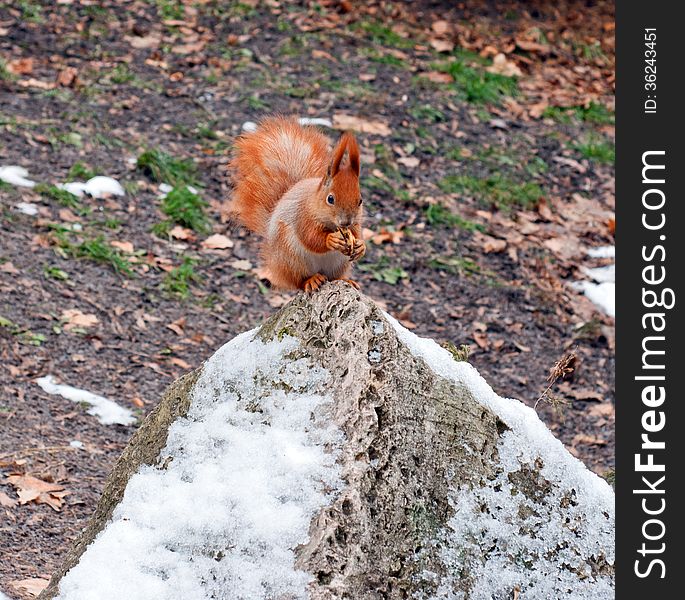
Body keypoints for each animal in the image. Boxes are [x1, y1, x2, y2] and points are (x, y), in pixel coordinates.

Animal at [230, 115, 366, 292]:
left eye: (360, 200)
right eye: (330, 199)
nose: (346, 222)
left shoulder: (355, 223)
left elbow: (357, 233)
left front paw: (361, 246)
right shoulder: (303, 215)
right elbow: (310, 237)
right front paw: (331, 240)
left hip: (339, 264)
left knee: (334, 277)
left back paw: (345, 280)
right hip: (292, 258)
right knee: (298, 282)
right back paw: (312, 280)